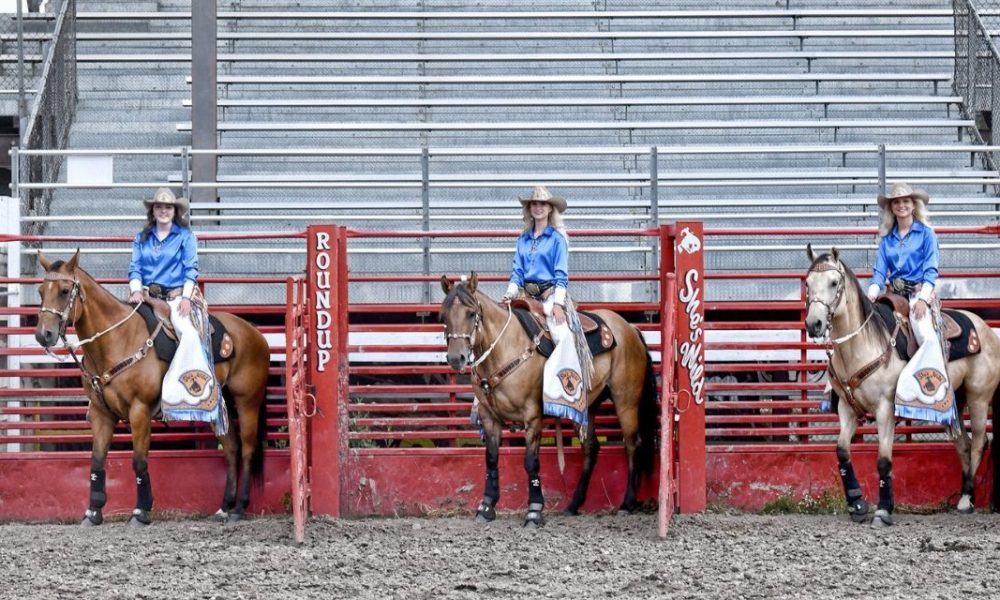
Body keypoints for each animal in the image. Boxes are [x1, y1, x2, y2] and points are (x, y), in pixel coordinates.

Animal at [33, 251, 272, 528]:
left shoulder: (140, 411)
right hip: (218, 407)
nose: (43, 335)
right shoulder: (102, 414)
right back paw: (224, 507)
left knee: (247, 448)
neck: (118, 339)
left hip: (248, 401)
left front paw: (141, 512)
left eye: (63, 290)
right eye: (40, 291)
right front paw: (93, 513)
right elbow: (97, 461)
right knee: (232, 448)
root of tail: (254, 332)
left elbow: (139, 462)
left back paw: (239, 507)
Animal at [436, 272, 656, 524]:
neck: (506, 348)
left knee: (632, 445)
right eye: (443, 315)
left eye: (471, 313)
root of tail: (630, 327)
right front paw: (487, 507)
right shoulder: (489, 416)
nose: (456, 357)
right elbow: (491, 459)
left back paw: (627, 503)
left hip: (626, 401)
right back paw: (574, 504)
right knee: (591, 448)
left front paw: (534, 510)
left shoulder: (532, 416)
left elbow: (531, 462)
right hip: (587, 406)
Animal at [804, 246, 1000, 528]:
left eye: (833, 282)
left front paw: (883, 510)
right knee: (963, 444)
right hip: (953, 403)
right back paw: (965, 496)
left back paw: (967, 499)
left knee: (978, 443)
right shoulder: (847, 409)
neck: (862, 346)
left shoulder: (885, 408)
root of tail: (986, 329)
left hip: (979, 398)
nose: (814, 324)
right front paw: (857, 503)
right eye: (808, 283)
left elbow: (884, 461)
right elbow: (841, 451)